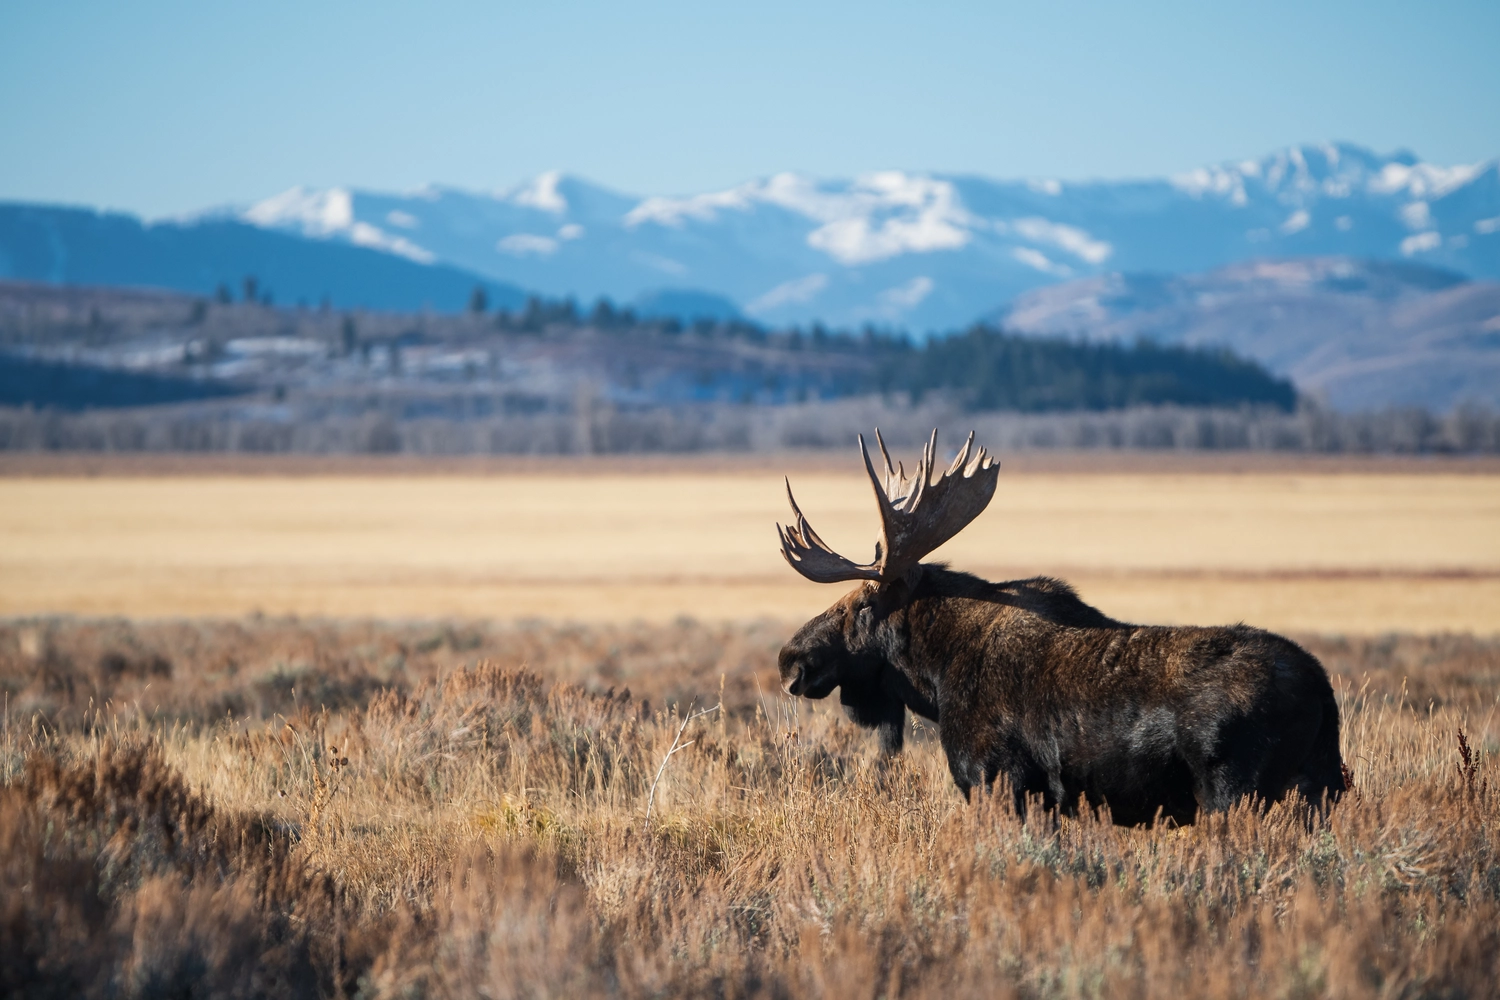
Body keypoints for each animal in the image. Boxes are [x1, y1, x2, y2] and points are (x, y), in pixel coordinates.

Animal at [776, 429, 1346, 826]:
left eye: (863, 604)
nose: (790, 660)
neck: (934, 679)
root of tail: (1320, 688)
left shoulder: (996, 778)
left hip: (1235, 792)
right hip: (1321, 785)